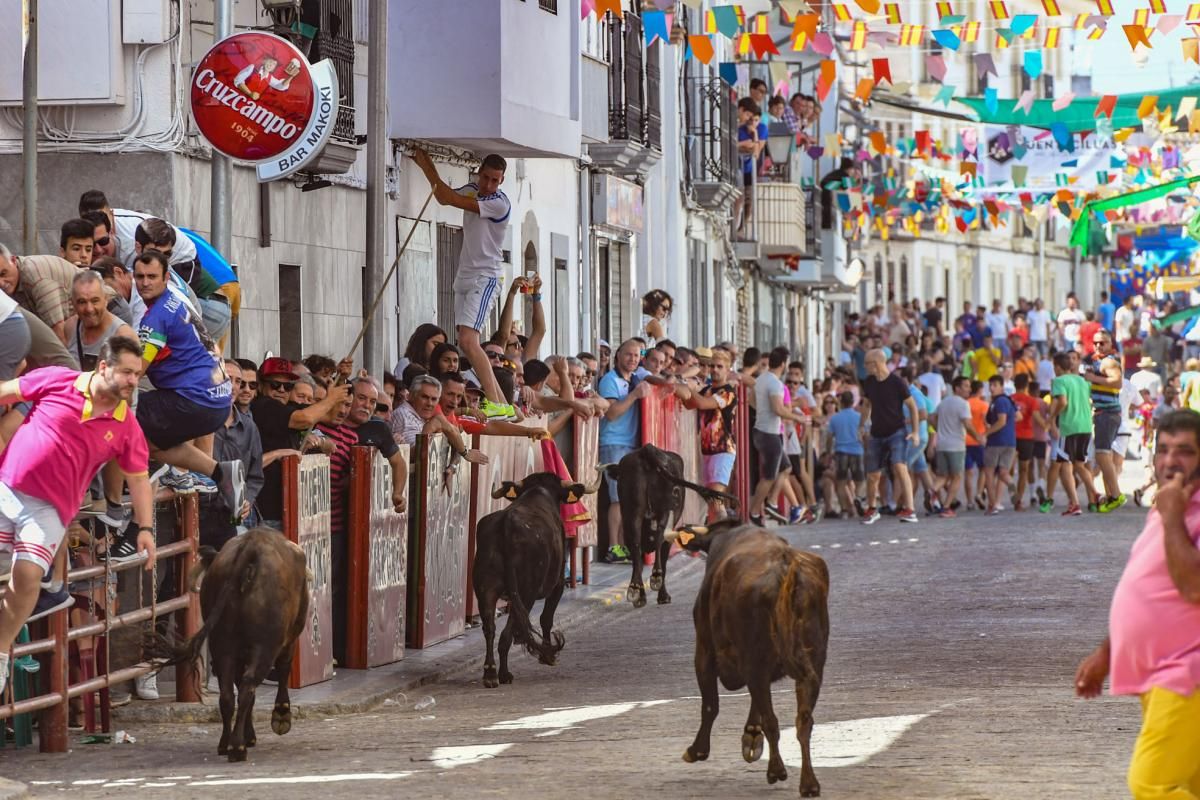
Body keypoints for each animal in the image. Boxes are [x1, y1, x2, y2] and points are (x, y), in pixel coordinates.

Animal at [152, 527, 309, 762]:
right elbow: (282, 671)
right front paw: (281, 715)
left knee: (228, 695)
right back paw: (237, 747)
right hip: (264, 646)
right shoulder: (288, 639)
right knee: (248, 686)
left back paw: (226, 743)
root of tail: (251, 545)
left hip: (222, 646)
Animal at [468, 470, 600, 690]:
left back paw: (491, 673)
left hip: (486, 590)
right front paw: (548, 656)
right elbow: (546, 618)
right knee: (508, 632)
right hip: (525, 592)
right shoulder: (557, 584)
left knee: (490, 629)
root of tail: (507, 523)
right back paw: (504, 674)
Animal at [600, 443, 739, 606]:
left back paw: (634, 588)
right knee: (660, 538)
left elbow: (639, 560)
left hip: (632, 513)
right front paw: (662, 595)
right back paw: (655, 577)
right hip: (665, 511)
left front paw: (642, 596)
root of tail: (647, 449)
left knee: (637, 546)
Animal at [672, 520, 830, 796]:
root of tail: (786, 565)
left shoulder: (704, 650)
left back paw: (776, 770)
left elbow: (710, 705)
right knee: (803, 721)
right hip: (813, 664)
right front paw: (751, 738)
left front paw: (697, 750)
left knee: (772, 721)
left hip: (753, 660)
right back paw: (809, 783)